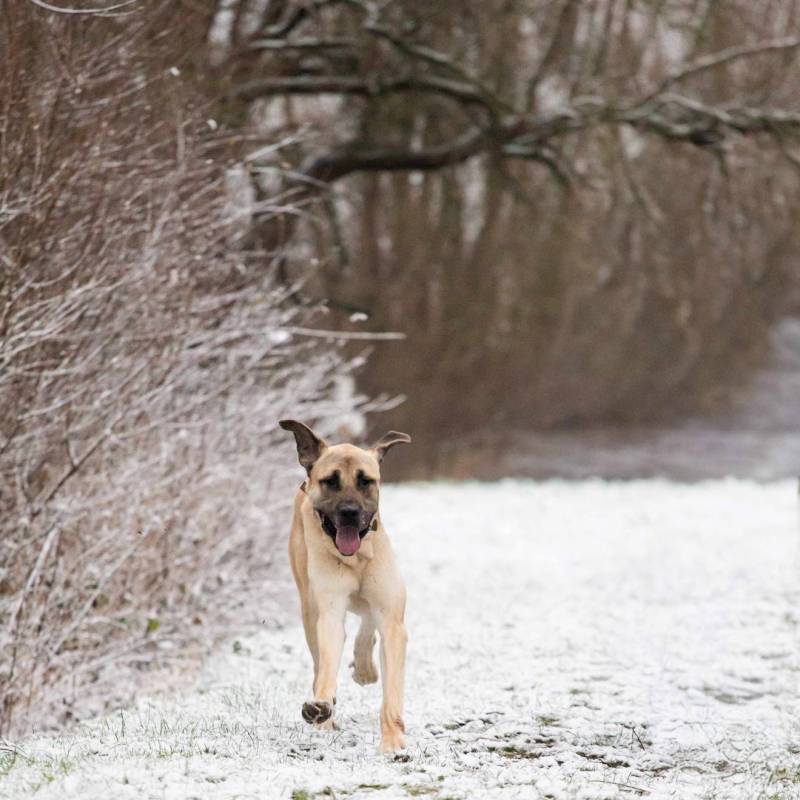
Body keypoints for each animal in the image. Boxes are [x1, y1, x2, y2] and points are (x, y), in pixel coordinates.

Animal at [279, 420, 412, 752]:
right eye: (330, 481)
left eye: (366, 481)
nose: (350, 512)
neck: (357, 558)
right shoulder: (329, 610)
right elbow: (328, 662)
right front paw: (321, 707)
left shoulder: (392, 620)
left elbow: (391, 691)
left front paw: (393, 742)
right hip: (308, 605)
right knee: (319, 659)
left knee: (367, 624)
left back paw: (365, 667)